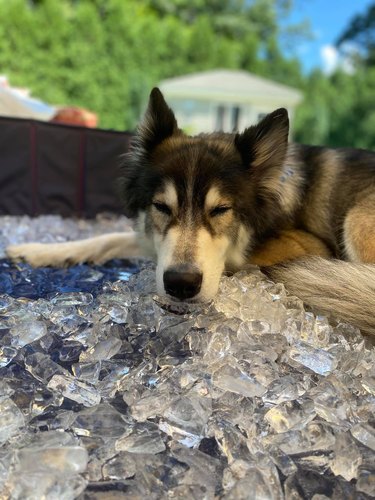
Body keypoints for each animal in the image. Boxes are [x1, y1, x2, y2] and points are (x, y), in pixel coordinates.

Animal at [5, 88, 375, 338]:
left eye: (221, 209)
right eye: (161, 207)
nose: (180, 285)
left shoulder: (308, 247)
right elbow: (110, 237)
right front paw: (41, 251)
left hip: (356, 220)